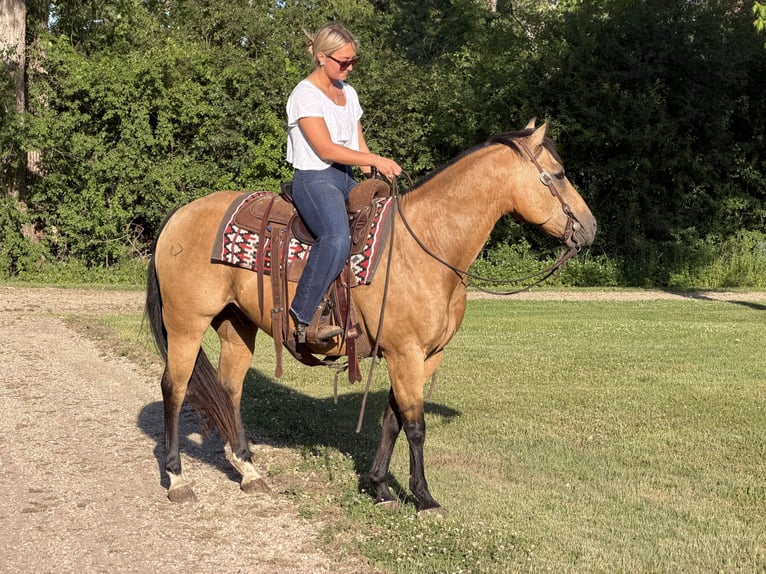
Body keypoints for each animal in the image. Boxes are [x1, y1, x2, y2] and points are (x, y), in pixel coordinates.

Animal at [145, 120, 597, 515]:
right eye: (557, 175)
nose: (590, 228)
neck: (427, 246)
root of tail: (180, 215)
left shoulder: (421, 356)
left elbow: (393, 420)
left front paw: (380, 487)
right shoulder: (406, 353)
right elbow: (415, 426)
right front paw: (424, 499)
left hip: (236, 325)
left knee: (230, 389)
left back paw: (248, 469)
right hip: (186, 325)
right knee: (176, 388)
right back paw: (178, 479)